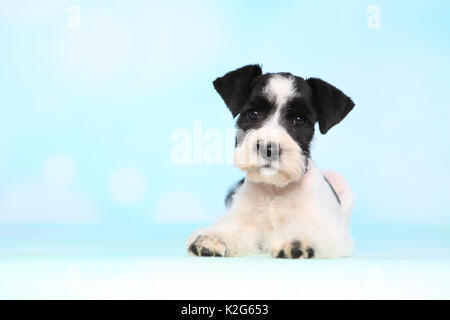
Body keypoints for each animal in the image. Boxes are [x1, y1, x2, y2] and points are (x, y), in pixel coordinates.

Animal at [186, 65, 356, 260]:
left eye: (299, 120)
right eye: (253, 113)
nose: (269, 149)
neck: (274, 189)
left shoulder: (333, 233)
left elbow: (314, 230)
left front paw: (298, 240)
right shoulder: (244, 222)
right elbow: (234, 228)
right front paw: (212, 238)